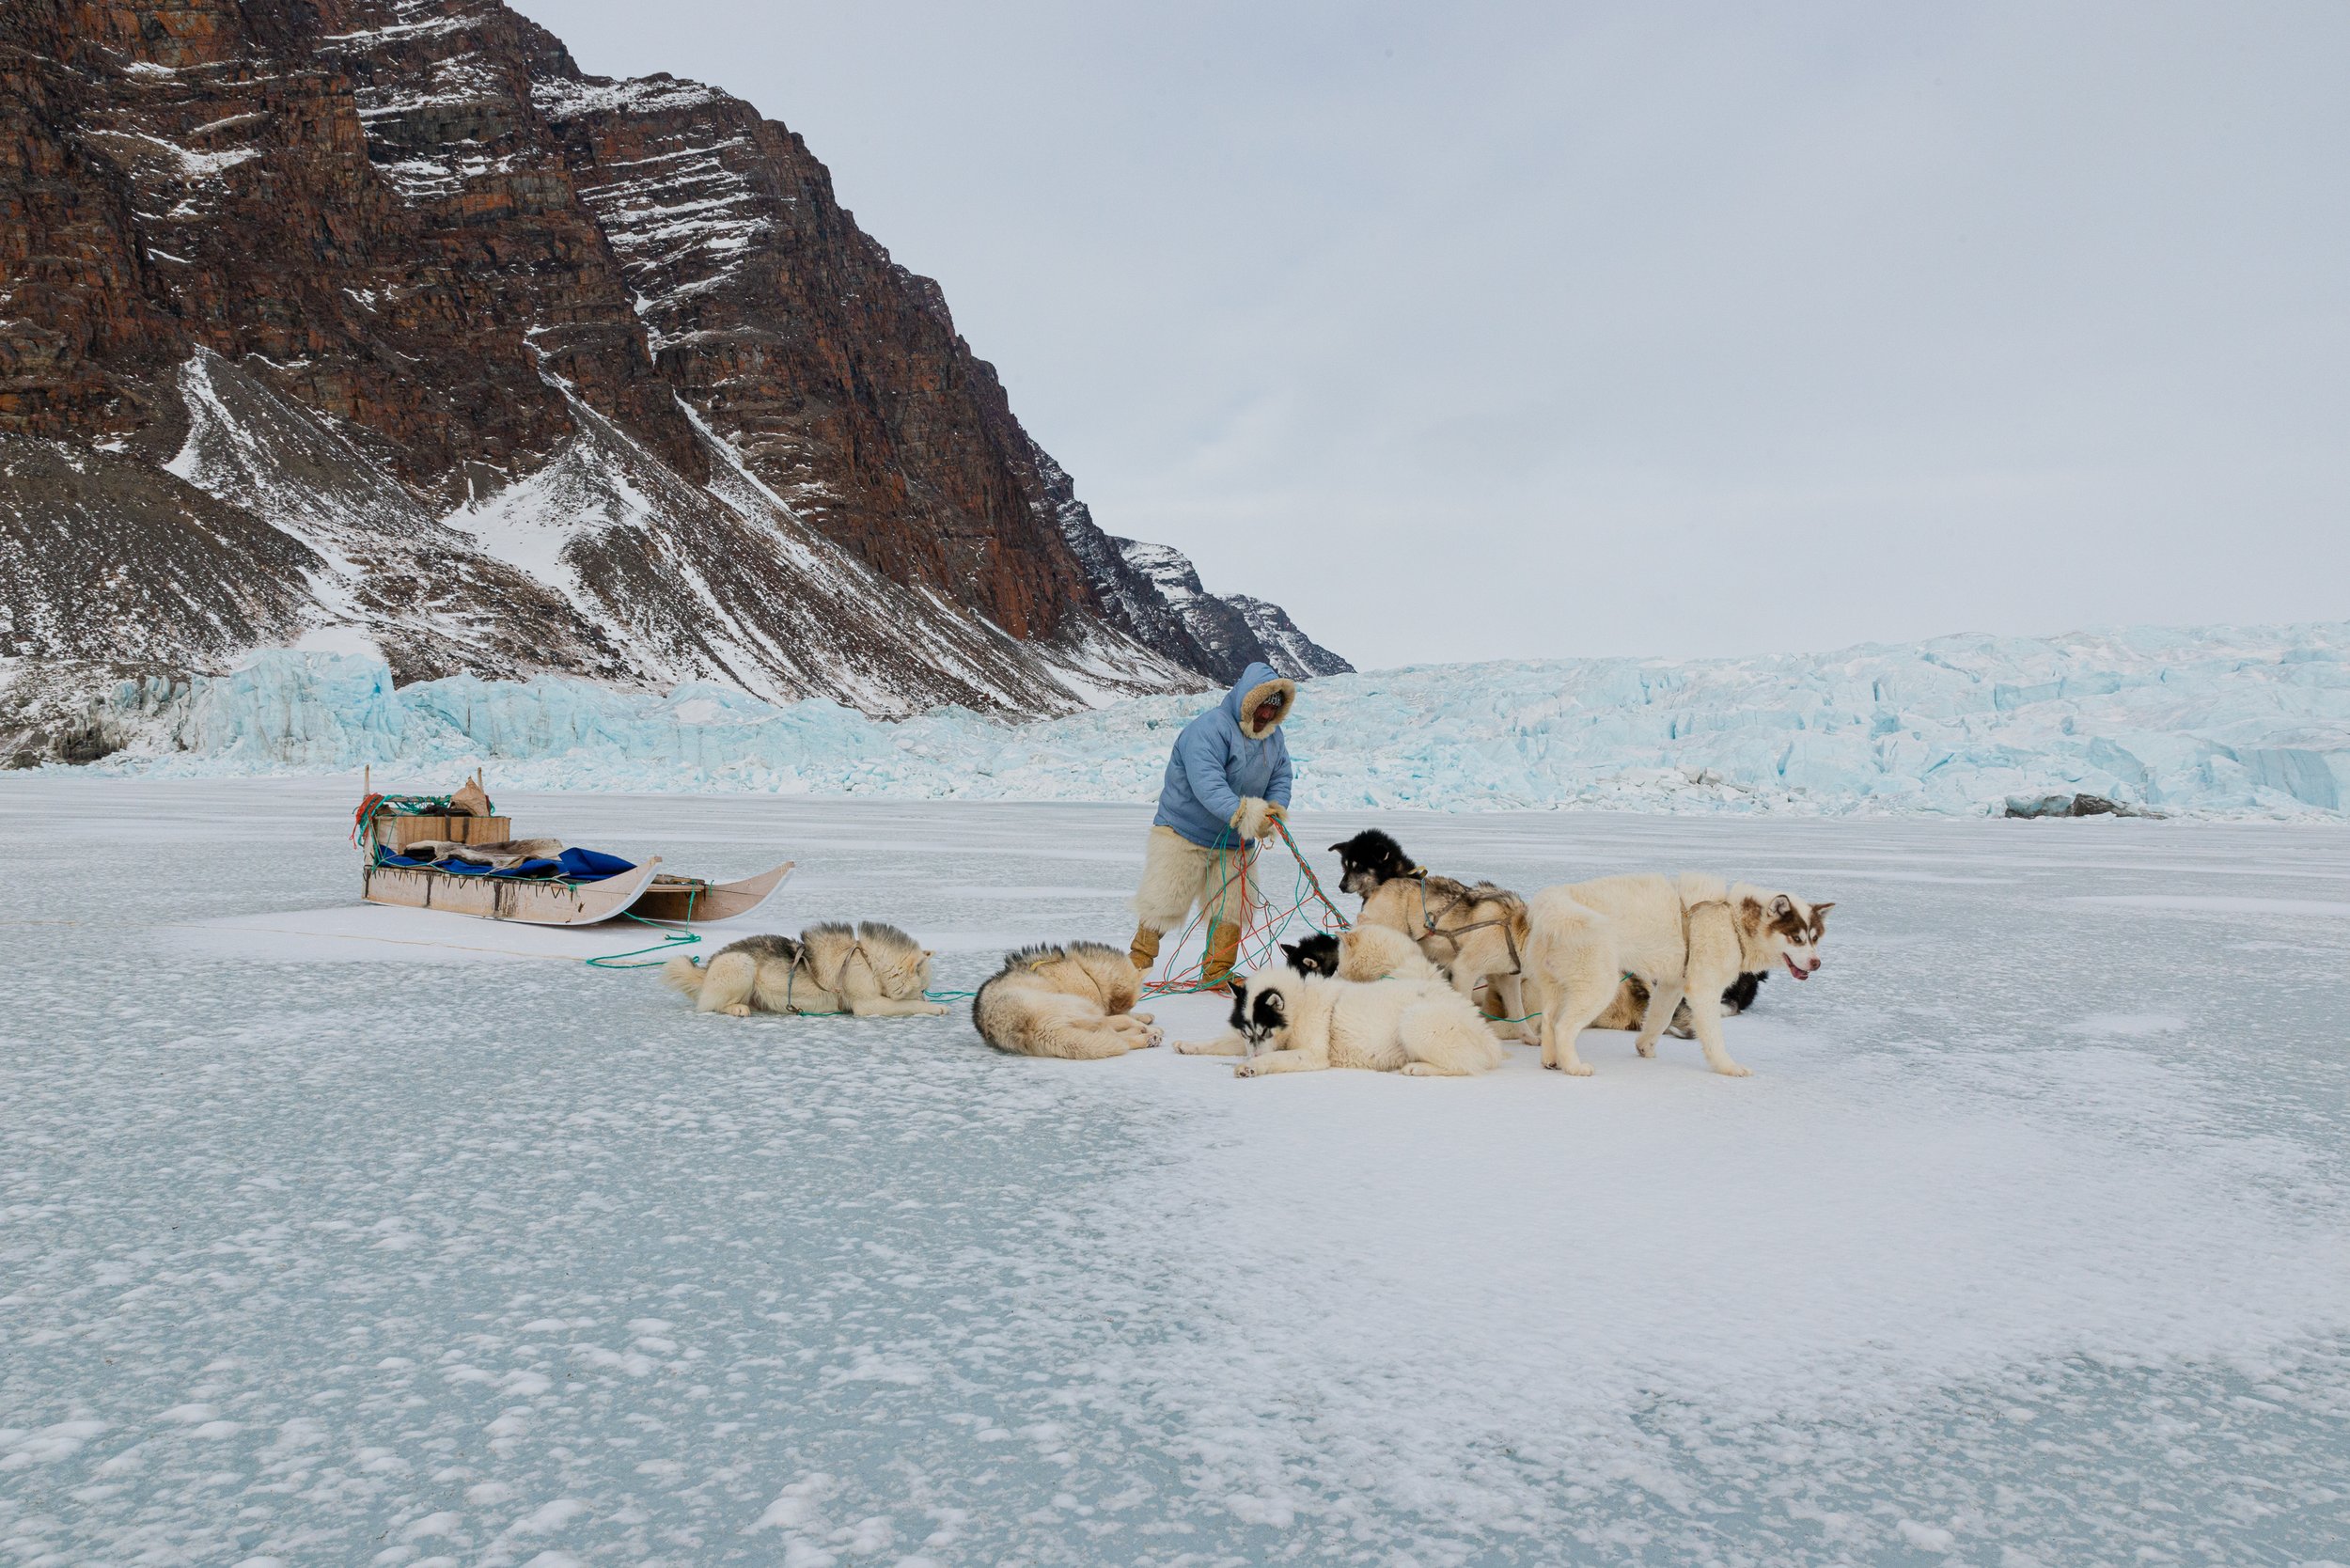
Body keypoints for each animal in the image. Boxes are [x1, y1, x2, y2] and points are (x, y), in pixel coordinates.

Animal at [663, 926, 945, 1025]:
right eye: (922, 989)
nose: (927, 996)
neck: (868, 960)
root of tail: (708, 967)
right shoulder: (869, 1004)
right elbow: (909, 1005)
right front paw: (937, 1008)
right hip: (741, 964)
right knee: (711, 1005)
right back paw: (737, 1008)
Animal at [968, 940, 1161, 1062]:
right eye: (1125, 1004)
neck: (1087, 972)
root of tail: (1033, 1028)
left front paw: (1144, 1016)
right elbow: (1122, 1017)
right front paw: (1142, 1021)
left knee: (1112, 1036)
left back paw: (1147, 1036)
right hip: (1082, 1006)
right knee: (1114, 1031)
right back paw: (1148, 1033)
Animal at [1513, 870, 1824, 1081]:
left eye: (1815, 937)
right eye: (1796, 938)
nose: (1817, 962)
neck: (1732, 920)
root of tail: (1555, 903)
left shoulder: (1672, 984)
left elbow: (1659, 1019)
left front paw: (1645, 1048)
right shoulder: (1705, 990)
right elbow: (1713, 1038)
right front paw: (1728, 1067)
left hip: (1555, 985)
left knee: (1549, 1021)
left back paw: (1551, 1061)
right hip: (1599, 987)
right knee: (1563, 1026)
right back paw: (1574, 1067)